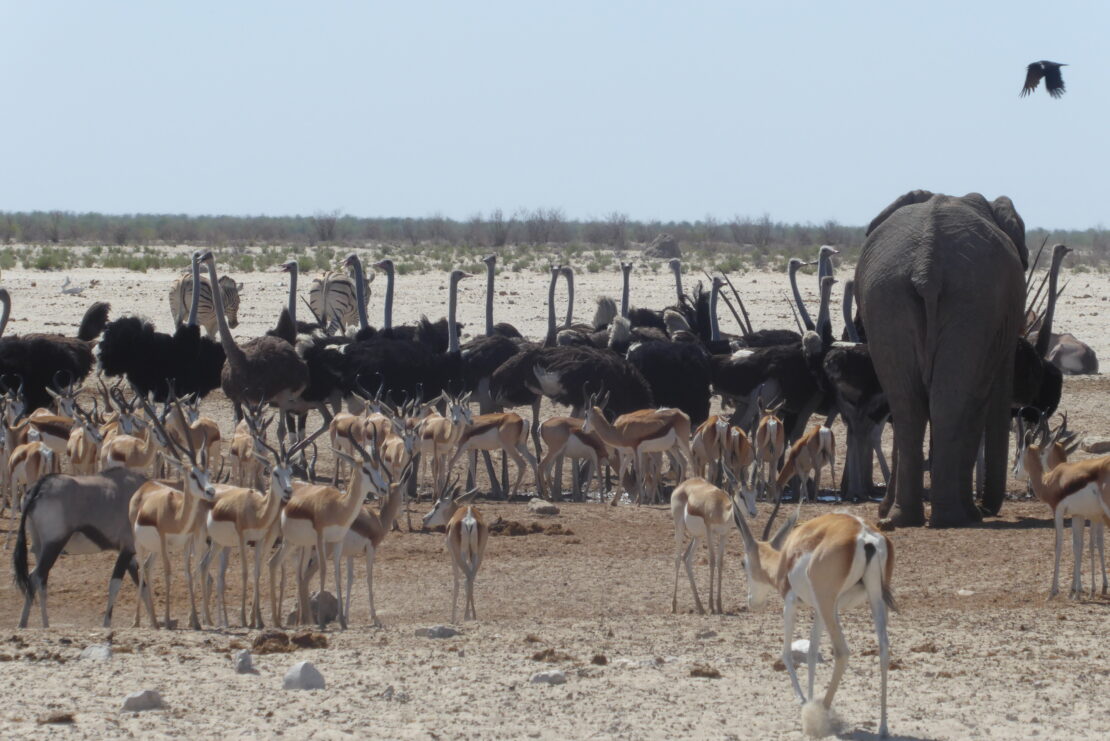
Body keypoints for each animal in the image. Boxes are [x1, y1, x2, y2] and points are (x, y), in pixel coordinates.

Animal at [421, 483, 488, 621]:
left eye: (437, 505)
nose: (424, 519)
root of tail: (469, 519)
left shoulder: (452, 554)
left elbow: (456, 581)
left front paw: (453, 618)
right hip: (478, 553)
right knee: (471, 577)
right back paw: (473, 616)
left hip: (459, 554)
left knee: (466, 576)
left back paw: (465, 616)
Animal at [732, 510, 896, 741]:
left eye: (742, 563)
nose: (752, 602)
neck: (785, 559)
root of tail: (865, 535)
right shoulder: (820, 611)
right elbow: (811, 653)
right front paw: (808, 697)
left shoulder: (792, 602)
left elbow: (786, 653)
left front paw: (804, 700)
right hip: (875, 600)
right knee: (883, 649)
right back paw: (883, 728)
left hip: (828, 603)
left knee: (842, 652)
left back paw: (819, 714)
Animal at [852, 190, 1025, 525]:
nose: (988, 507)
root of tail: (926, 265)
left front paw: (885, 511)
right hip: (959, 302)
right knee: (943, 405)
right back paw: (954, 517)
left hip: (896, 297)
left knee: (912, 406)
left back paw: (916, 518)